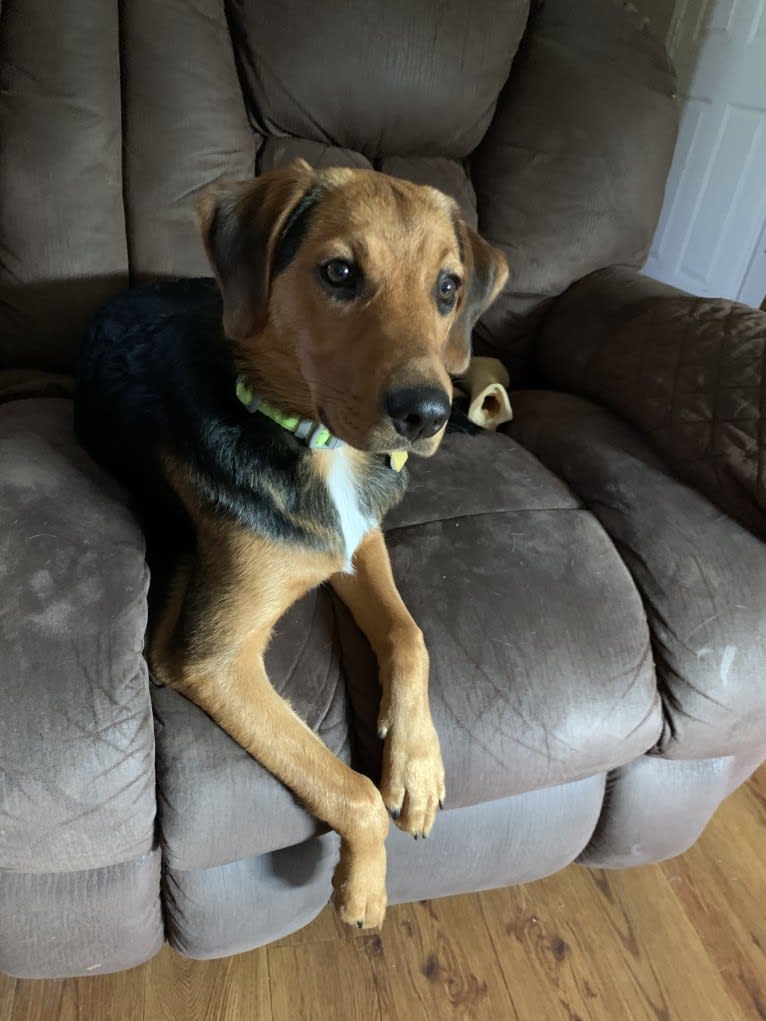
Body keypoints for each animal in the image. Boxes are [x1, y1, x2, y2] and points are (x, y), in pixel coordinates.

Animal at [75, 157, 510, 927]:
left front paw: (417, 766)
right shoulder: (212, 659)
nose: (428, 414)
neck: (317, 443)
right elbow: (353, 791)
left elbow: (410, 635)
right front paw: (364, 885)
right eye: (339, 272)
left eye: (448, 288)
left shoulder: (357, 542)